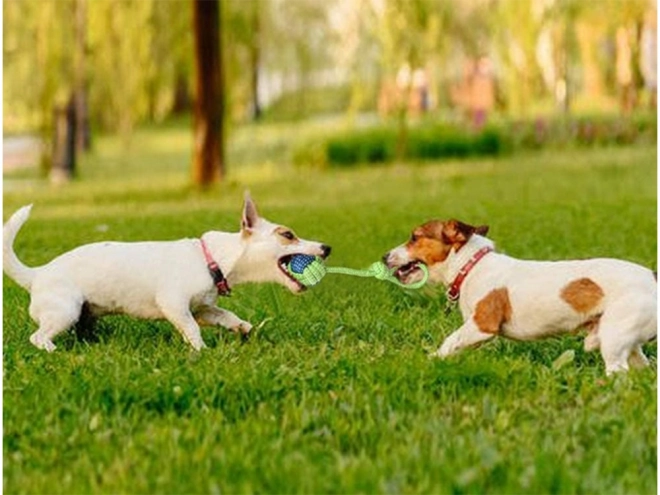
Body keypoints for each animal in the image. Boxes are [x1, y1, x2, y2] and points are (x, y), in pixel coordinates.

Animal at [0, 194, 330, 352]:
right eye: (288, 235)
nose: (326, 248)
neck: (212, 258)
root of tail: (37, 274)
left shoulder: (202, 308)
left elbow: (224, 316)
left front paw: (244, 328)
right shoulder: (175, 305)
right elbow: (192, 330)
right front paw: (201, 351)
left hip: (83, 313)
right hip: (64, 311)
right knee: (38, 337)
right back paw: (52, 349)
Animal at [384, 221, 656, 376]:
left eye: (415, 237)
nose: (384, 256)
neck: (472, 266)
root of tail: (653, 279)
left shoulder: (481, 325)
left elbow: (450, 341)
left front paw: (429, 360)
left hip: (614, 337)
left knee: (619, 373)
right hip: (627, 341)